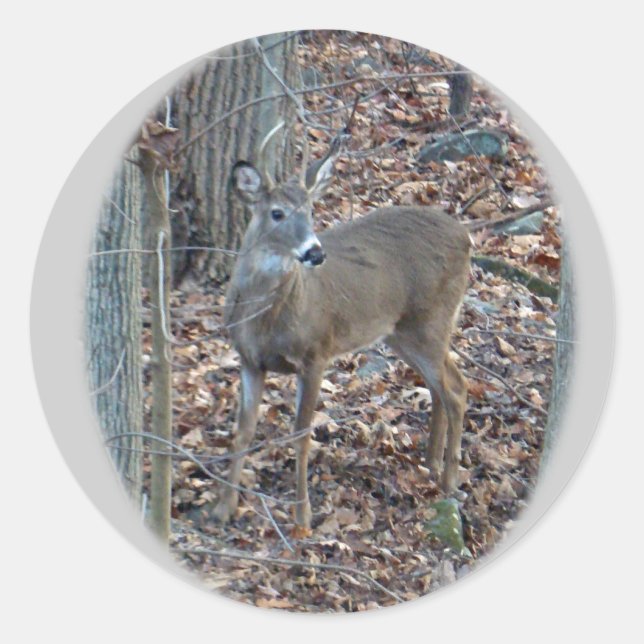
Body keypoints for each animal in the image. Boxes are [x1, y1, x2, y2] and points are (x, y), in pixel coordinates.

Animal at [213, 129, 471, 529]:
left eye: (310, 211)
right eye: (277, 213)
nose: (315, 253)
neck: (265, 321)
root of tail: (468, 238)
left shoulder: (316, 352)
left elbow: (301, 434)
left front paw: (302, 515)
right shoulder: (249, 360)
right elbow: (243, 431)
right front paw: (224, 508)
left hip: (431, 322)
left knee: (457, 389)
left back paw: (450, 481)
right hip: (403, 332)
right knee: (441, 385)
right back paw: (430, 463)